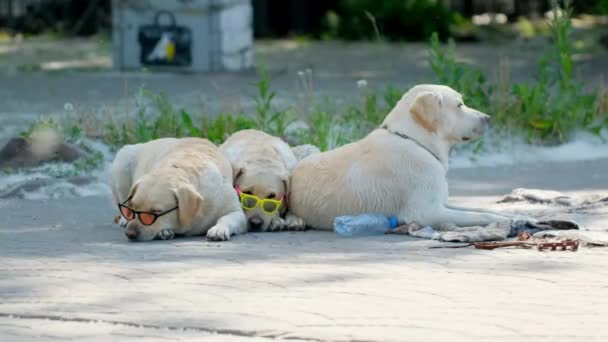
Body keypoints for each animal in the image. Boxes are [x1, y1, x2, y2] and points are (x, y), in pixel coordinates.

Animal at [110, 138, 246, 242]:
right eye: (133, 206)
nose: (129, 234)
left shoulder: (236, 212)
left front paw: (219, 229)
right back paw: (124, 220)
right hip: (123, 159)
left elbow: (227, 218)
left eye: (156, 211)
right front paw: (164, 231)